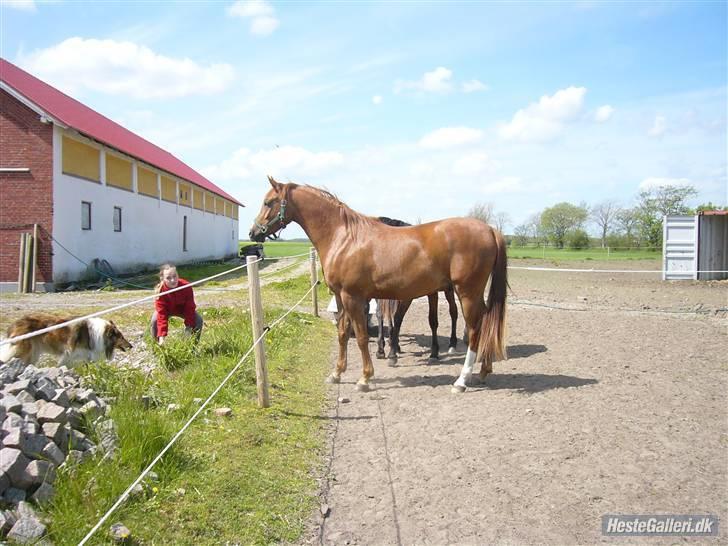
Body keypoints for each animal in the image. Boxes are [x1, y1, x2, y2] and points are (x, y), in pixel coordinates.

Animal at [0, 310, 132, 366]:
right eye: (121, 337)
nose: (131, 346)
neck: (100, 334)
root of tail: (15, 323)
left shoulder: (86, 356)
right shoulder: (69, 354)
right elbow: (63, 365)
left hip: (33, 353)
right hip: (24, 350)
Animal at [250, 177, 506, 392]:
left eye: (268, 202)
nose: (253, 233)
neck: (344, 238)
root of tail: (490, 229)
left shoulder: (353, 297)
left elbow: (362, 337)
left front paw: (365, 378)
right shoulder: (342, 297)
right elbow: (343, 333)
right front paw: (337, 374)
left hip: (467, 293)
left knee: (474, 329)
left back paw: (462, 380)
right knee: (487, 322)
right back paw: (484, 370)